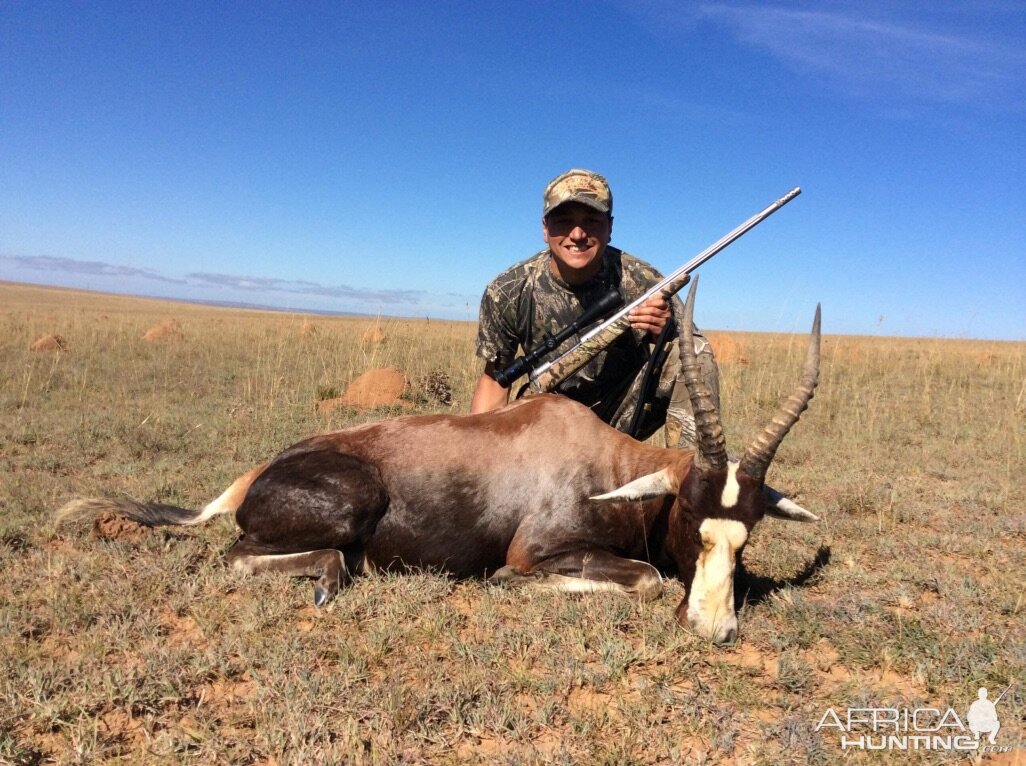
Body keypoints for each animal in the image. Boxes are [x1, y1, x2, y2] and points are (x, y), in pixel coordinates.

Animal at [60, 278, 820, 643]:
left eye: (749, 533)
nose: (716, 629)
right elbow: (646, 580)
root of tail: (258, 474)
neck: (602, 462)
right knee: (244, 555)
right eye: (689, 514)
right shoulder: (537, 552)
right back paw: (330, 578)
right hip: (344, 508)